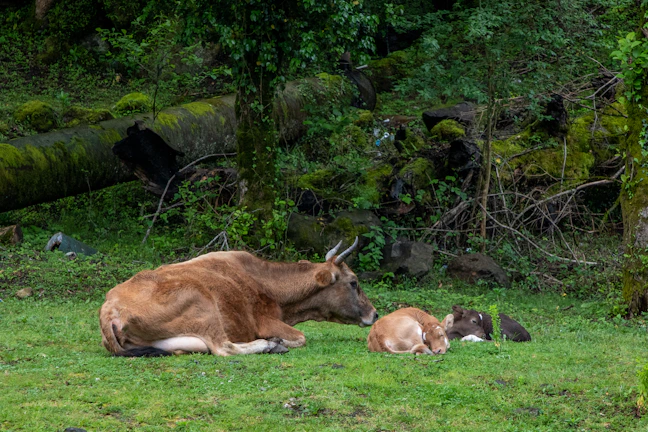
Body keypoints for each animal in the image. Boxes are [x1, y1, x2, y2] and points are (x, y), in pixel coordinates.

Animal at [99, 238, 378, 357]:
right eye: (354, 282)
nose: (374, 314)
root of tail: (110, 309)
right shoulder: (265, 321)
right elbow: (301, 337)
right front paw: (277, 341)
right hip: (203, 305)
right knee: (224, 348)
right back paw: (270, 345)